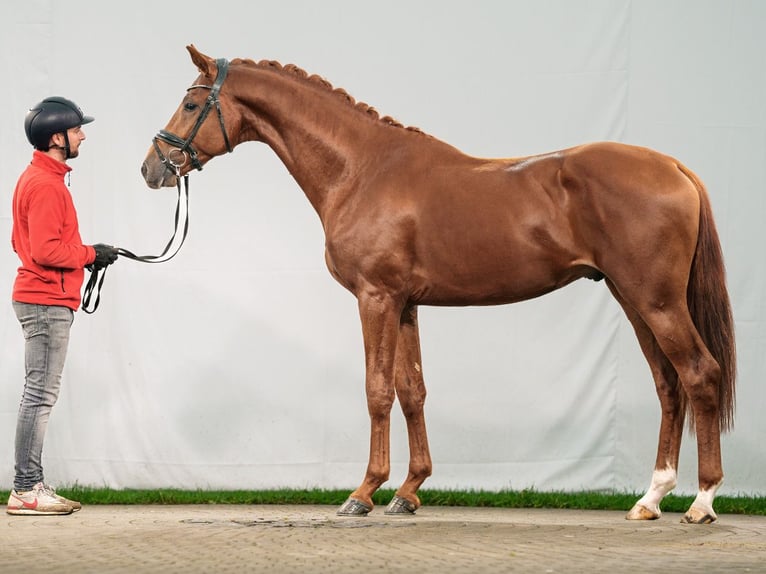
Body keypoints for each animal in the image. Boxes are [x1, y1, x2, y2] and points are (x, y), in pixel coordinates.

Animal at [140, 46, 736, 528]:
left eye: (191, 104)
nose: (152, 168)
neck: (361, 169)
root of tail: (674, 167)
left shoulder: (376, 298)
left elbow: (377, 390)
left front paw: (363, 493)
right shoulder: (406, 304)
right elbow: (412, 391)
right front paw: (408, 492)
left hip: (655, 301)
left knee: (700, 375)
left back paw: (701, 503)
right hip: (634, 300)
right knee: (669, 386)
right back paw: (650, 499)